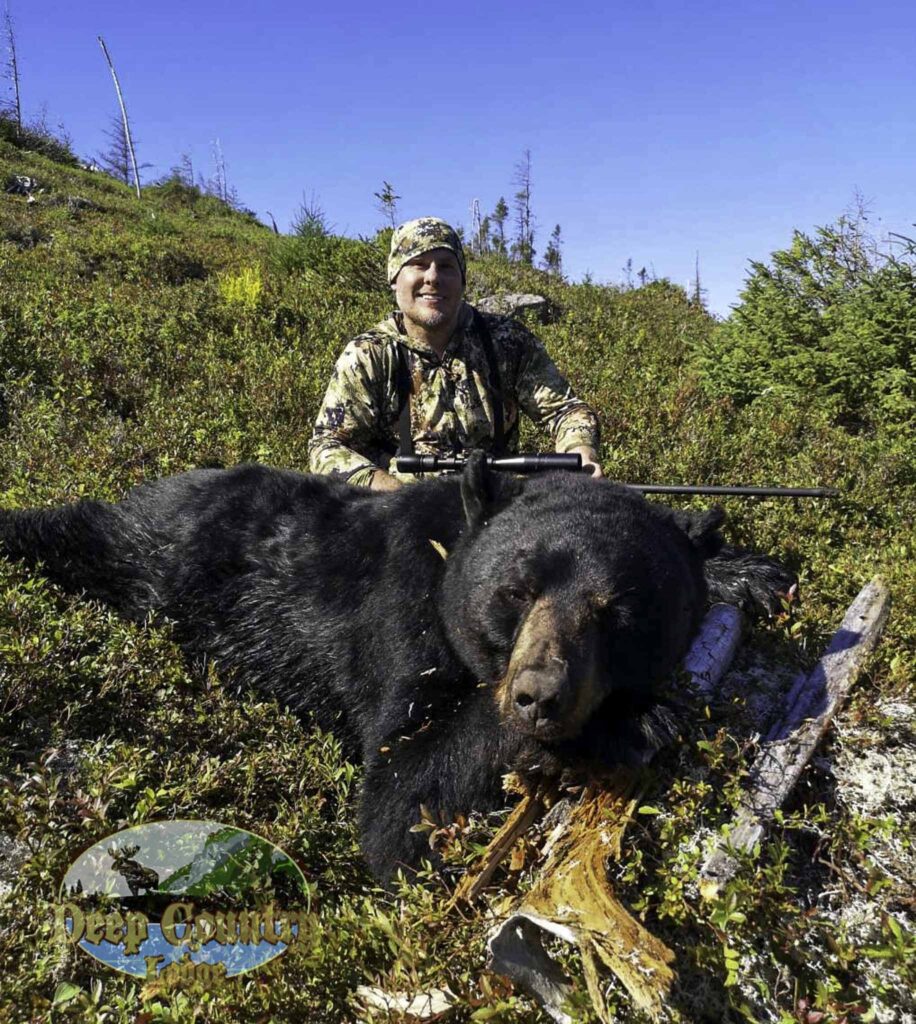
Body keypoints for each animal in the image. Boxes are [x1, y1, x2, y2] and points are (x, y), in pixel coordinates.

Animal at [0, 454, 789, 880]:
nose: (539, 697)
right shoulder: (403, 614)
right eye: (515, 590)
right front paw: (638, 718)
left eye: (618, 612)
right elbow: (400, 800)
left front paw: (750, 572)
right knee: (85, 529)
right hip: (151, 549)